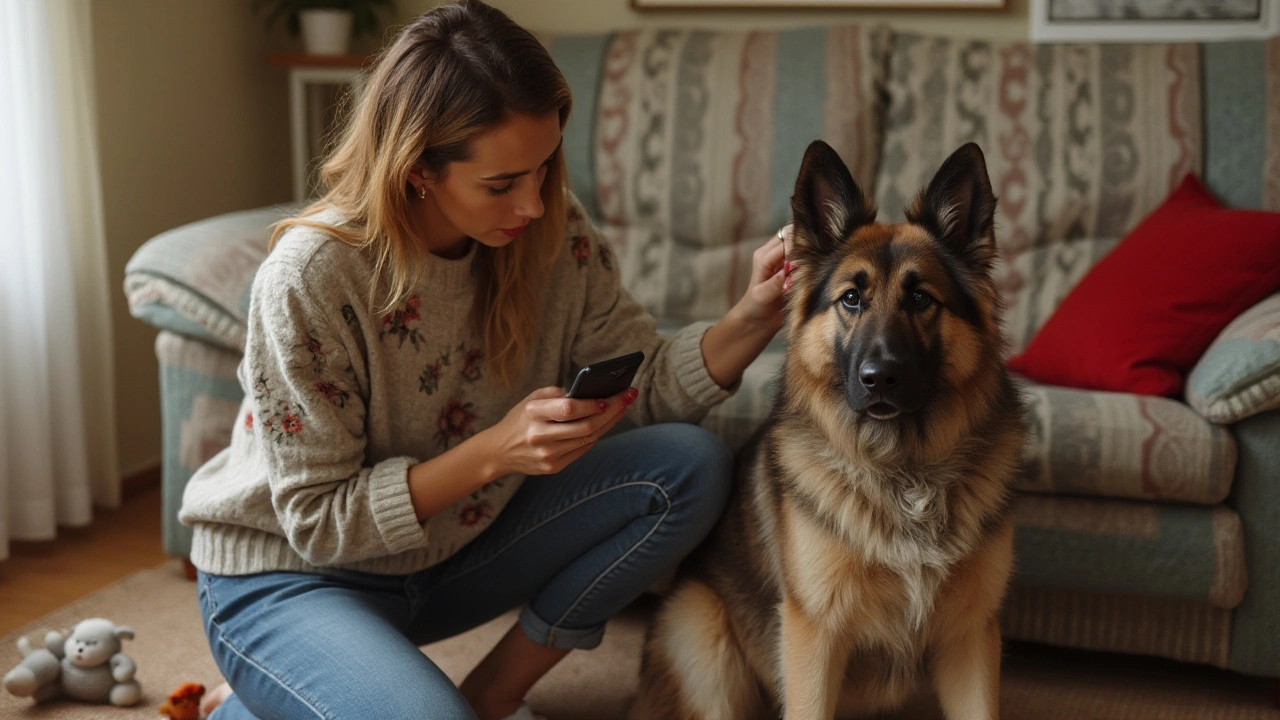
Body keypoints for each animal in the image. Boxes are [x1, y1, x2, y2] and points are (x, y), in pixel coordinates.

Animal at [632, 141, 1029, 717]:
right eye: (851, 299)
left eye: (920, 299)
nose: (879, 377)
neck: (903, 471)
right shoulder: (814, 635)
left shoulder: (971, 637)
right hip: (702, 634)